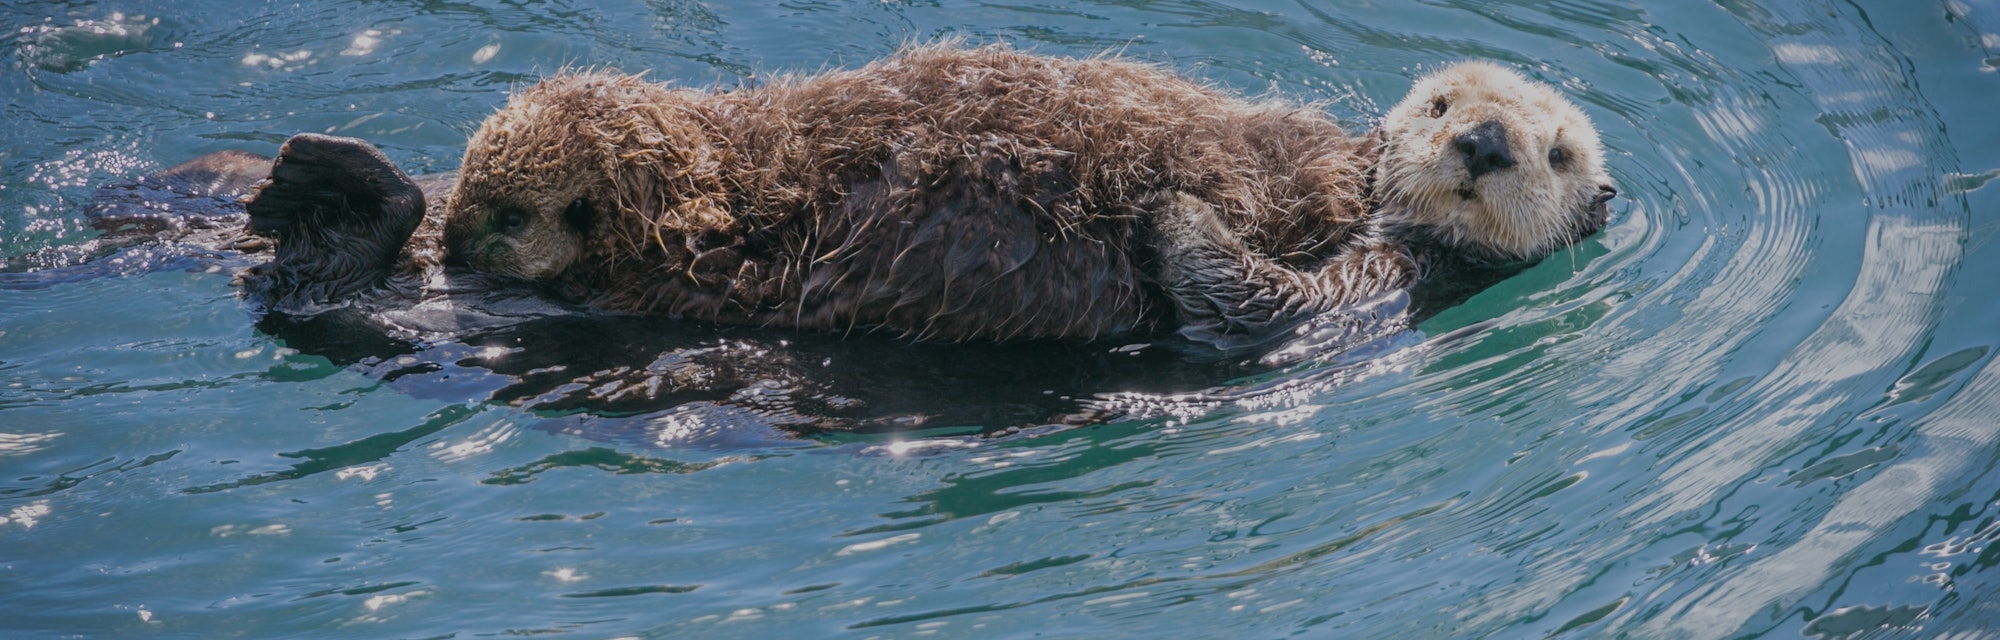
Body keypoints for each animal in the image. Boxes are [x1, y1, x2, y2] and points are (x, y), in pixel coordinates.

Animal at [443, 44, 1615, 345]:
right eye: (1439, 101)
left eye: (1556, 155)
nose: (1483, 141)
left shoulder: (1381, 286)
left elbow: (1250, 301)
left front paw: (1173, 208)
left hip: (717, 259)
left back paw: (522, 206)